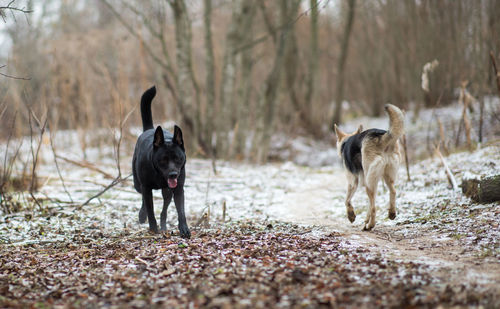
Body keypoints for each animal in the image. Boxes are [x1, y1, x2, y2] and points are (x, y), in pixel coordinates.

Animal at [132, 85, 190, 237]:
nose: (173, 175)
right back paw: (143, 215)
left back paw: (163, 226)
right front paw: (153, 228)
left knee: (164, 208)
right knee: (143, 198)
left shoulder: (178, 188)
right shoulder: (146, 187)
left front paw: (184, 229)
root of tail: (150, 129)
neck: (158, 174)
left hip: (167, 192)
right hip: (137, 184)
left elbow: (181, 211)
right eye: (163, 160)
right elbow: (150, 209)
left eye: (178, 159)